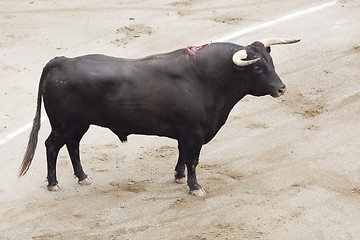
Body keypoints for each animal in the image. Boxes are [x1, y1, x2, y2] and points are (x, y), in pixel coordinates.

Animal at [18, 39, 300, 196]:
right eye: (257, 67)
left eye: (271, 61)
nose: (281, 88)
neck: (206, 78)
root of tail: (61, 61)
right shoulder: (194, 133)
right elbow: (193, 160)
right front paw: (195, 187)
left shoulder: (186, 133)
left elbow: (182, 155)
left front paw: (178, 176)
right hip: (64, 123)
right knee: (52, 146)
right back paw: (54, 184)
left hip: (78, 124)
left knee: (73, 145)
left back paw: (83, 177)